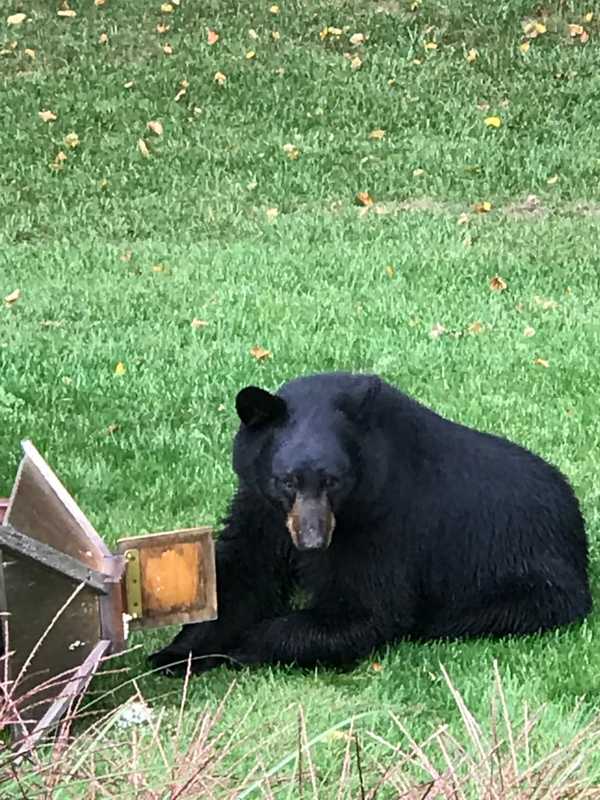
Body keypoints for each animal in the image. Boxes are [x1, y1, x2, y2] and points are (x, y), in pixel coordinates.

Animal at [149, 372, 592, 672]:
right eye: (286, 480)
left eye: (333, 480)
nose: (312, 542)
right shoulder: (263, 505)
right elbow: (241, 572)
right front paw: (173, 654)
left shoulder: (383, 520)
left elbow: (364, 607)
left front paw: (245, 646)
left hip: (527, 582)